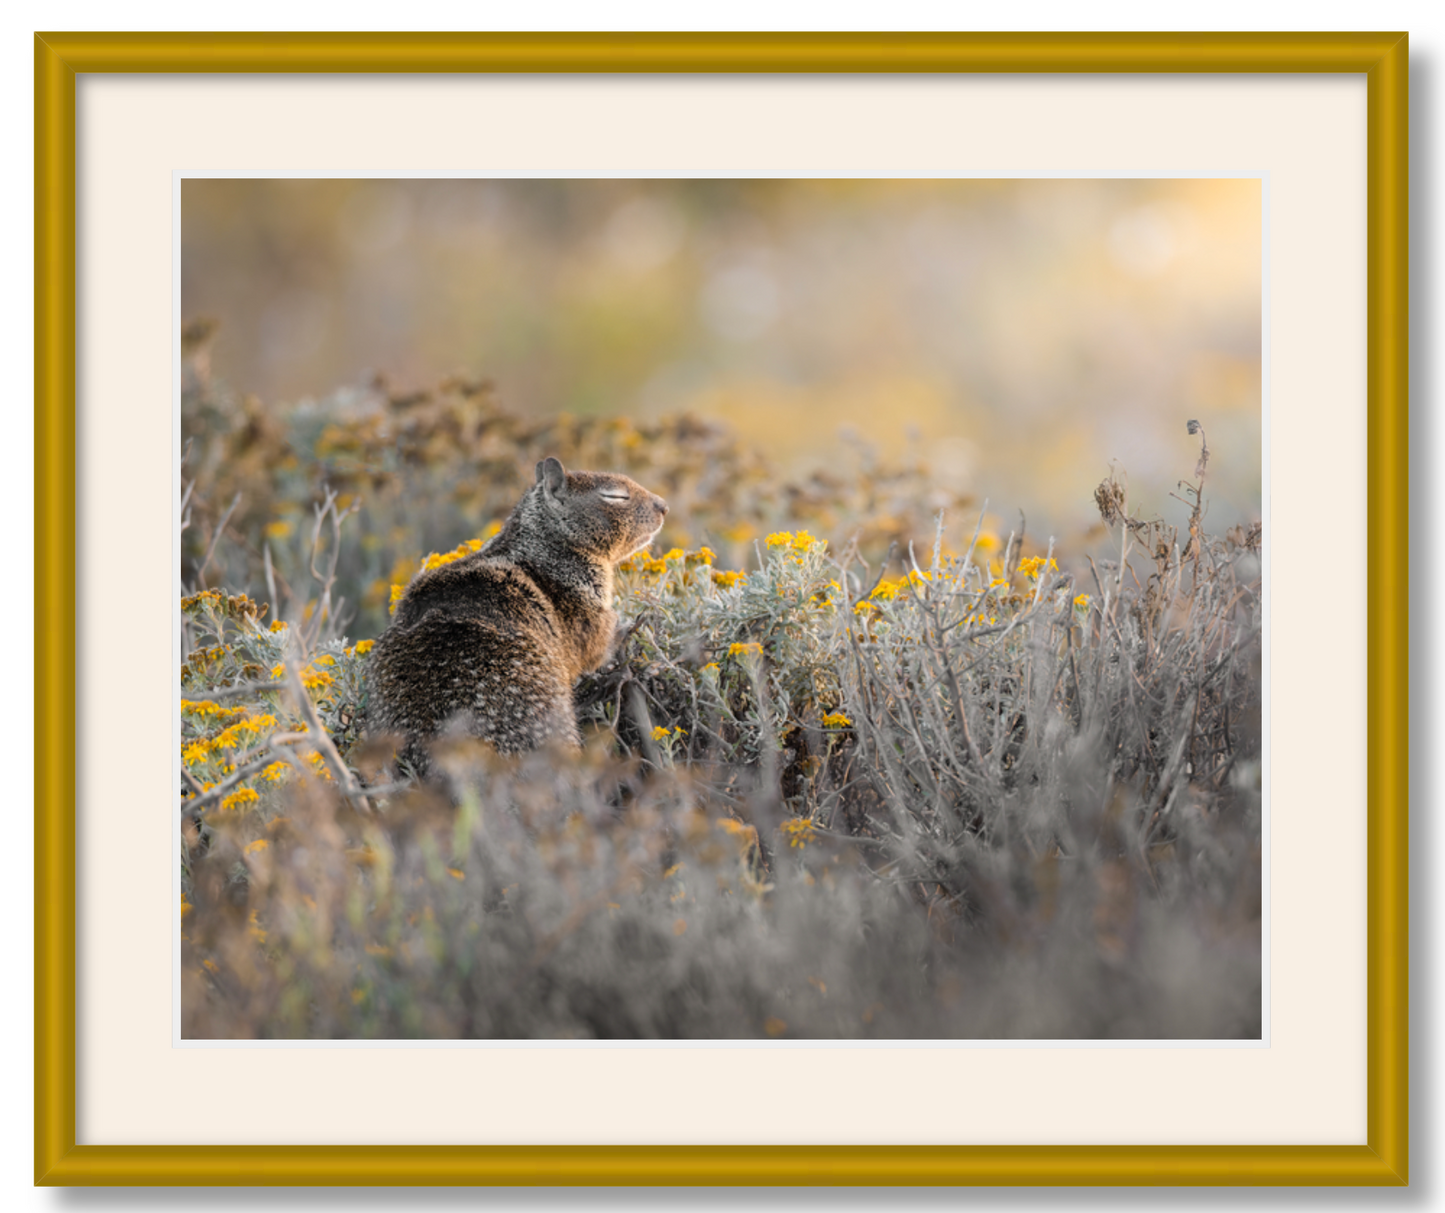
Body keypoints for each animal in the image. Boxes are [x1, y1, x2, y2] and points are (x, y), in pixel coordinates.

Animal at [367, 456, 670, 769]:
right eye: (615, 496)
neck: (540, 549)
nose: (664, 506)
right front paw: (630, 625)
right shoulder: (587, 611)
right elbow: (598, 648)